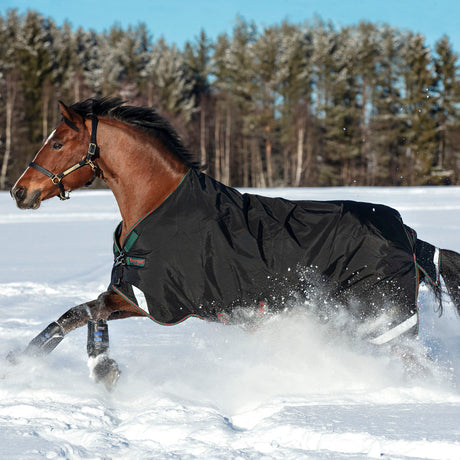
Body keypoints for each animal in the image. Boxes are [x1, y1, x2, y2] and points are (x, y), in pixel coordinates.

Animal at [9, 96, 460, 388]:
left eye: (57, 142)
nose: (19, 191)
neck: (157, 204)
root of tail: (408, 235)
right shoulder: (129, 294)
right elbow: (82, 315)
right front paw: (96, 370)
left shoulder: (151, 302)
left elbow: (82, 313)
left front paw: (65, 366)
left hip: (383, 319)